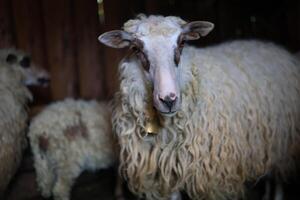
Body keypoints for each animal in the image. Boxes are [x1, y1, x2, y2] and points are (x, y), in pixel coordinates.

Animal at [98, 14, 300, 200]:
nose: (169, 99)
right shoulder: (166, 168)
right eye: (136, 48)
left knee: (278, 176)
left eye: (181, 43)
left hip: (283, 139)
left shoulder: (212, 171)